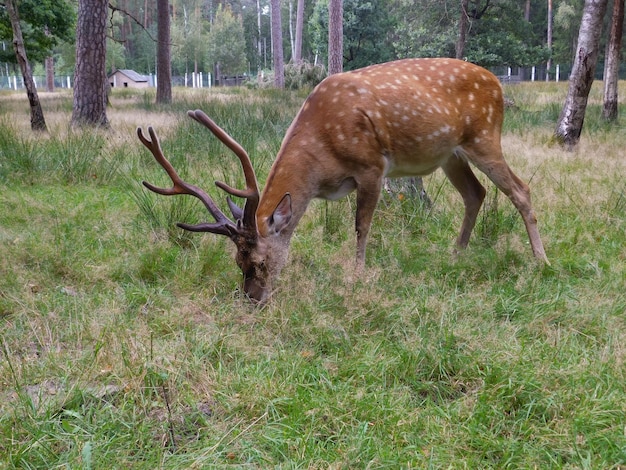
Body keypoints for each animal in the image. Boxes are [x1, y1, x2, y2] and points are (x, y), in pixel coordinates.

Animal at [136, 57, 544, 304]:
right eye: (238, 262)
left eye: (260, 261)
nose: (252, 299)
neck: (322, 157)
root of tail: (498, 83)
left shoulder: (372, 166)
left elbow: (361, 226)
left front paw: (357, 276)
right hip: (450, 155)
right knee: (476, 193)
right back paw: (456, 253)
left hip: (484, 136)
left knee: (520, 189)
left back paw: (541, 261)